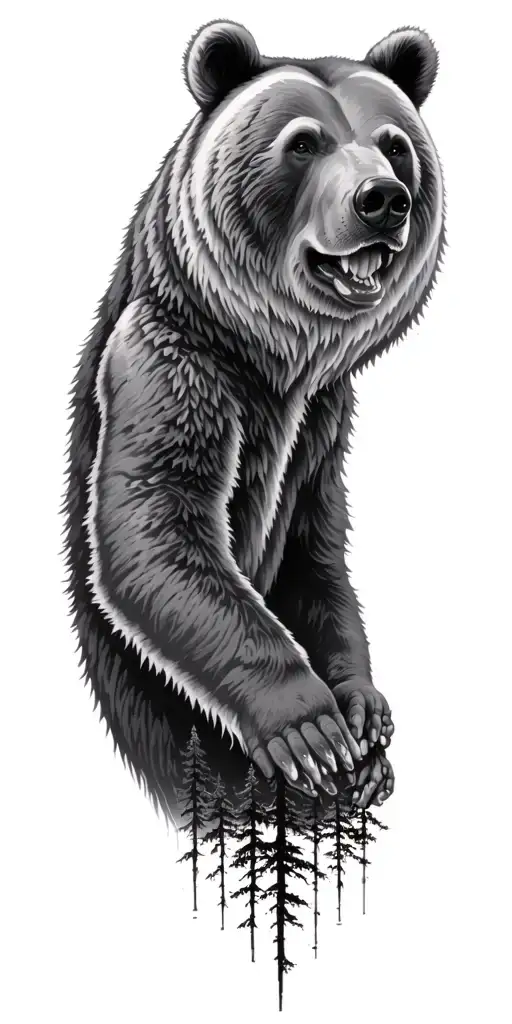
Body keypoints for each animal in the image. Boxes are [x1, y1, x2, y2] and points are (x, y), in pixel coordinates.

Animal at [64, 20, 445, 822]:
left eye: (395, 143)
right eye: (303, 142)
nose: (383, 199)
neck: (276, 359)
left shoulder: (324, 420)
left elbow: (315, 551)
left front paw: (364, 716)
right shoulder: (169, 365)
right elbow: (158, 530)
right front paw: (309, 727)